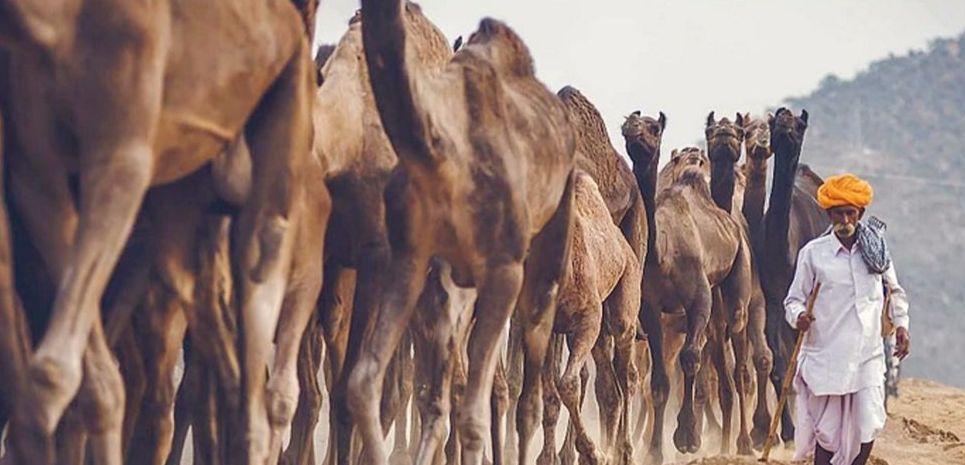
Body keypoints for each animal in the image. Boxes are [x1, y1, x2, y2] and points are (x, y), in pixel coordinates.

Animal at [0, 1, 314, 463]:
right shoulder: (35, 175)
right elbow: (88, 386)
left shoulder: (123, 154)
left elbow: (53, 373)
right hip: (179, 209)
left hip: (289, 108)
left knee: (264, 247)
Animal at [348, 3, 577, 465]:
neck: (440, 156)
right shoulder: (410, 254)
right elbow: (364, 383)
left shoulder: (505, 269)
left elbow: (474, 414)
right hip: (455, 286)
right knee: (441, 396)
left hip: (546, 263)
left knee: (526, 395)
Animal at [535, 171, 641, 465]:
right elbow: (550, 394)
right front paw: (548, 457)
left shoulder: (588, 318)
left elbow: (568, 384)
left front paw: (593, 452)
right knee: (608, 388)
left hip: (623, 303)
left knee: (628, 374)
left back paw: (625, 452)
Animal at [624, 107, 752, 464]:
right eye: (631, 122)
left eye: (654, 127)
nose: (632, 127)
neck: (662, 253)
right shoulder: (651, 310)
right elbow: (659, 382)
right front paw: (655, 451)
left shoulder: (698, 300)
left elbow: (691, 358)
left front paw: (687, 438)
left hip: (737, 286)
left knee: (738, 362)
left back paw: (742, 443)